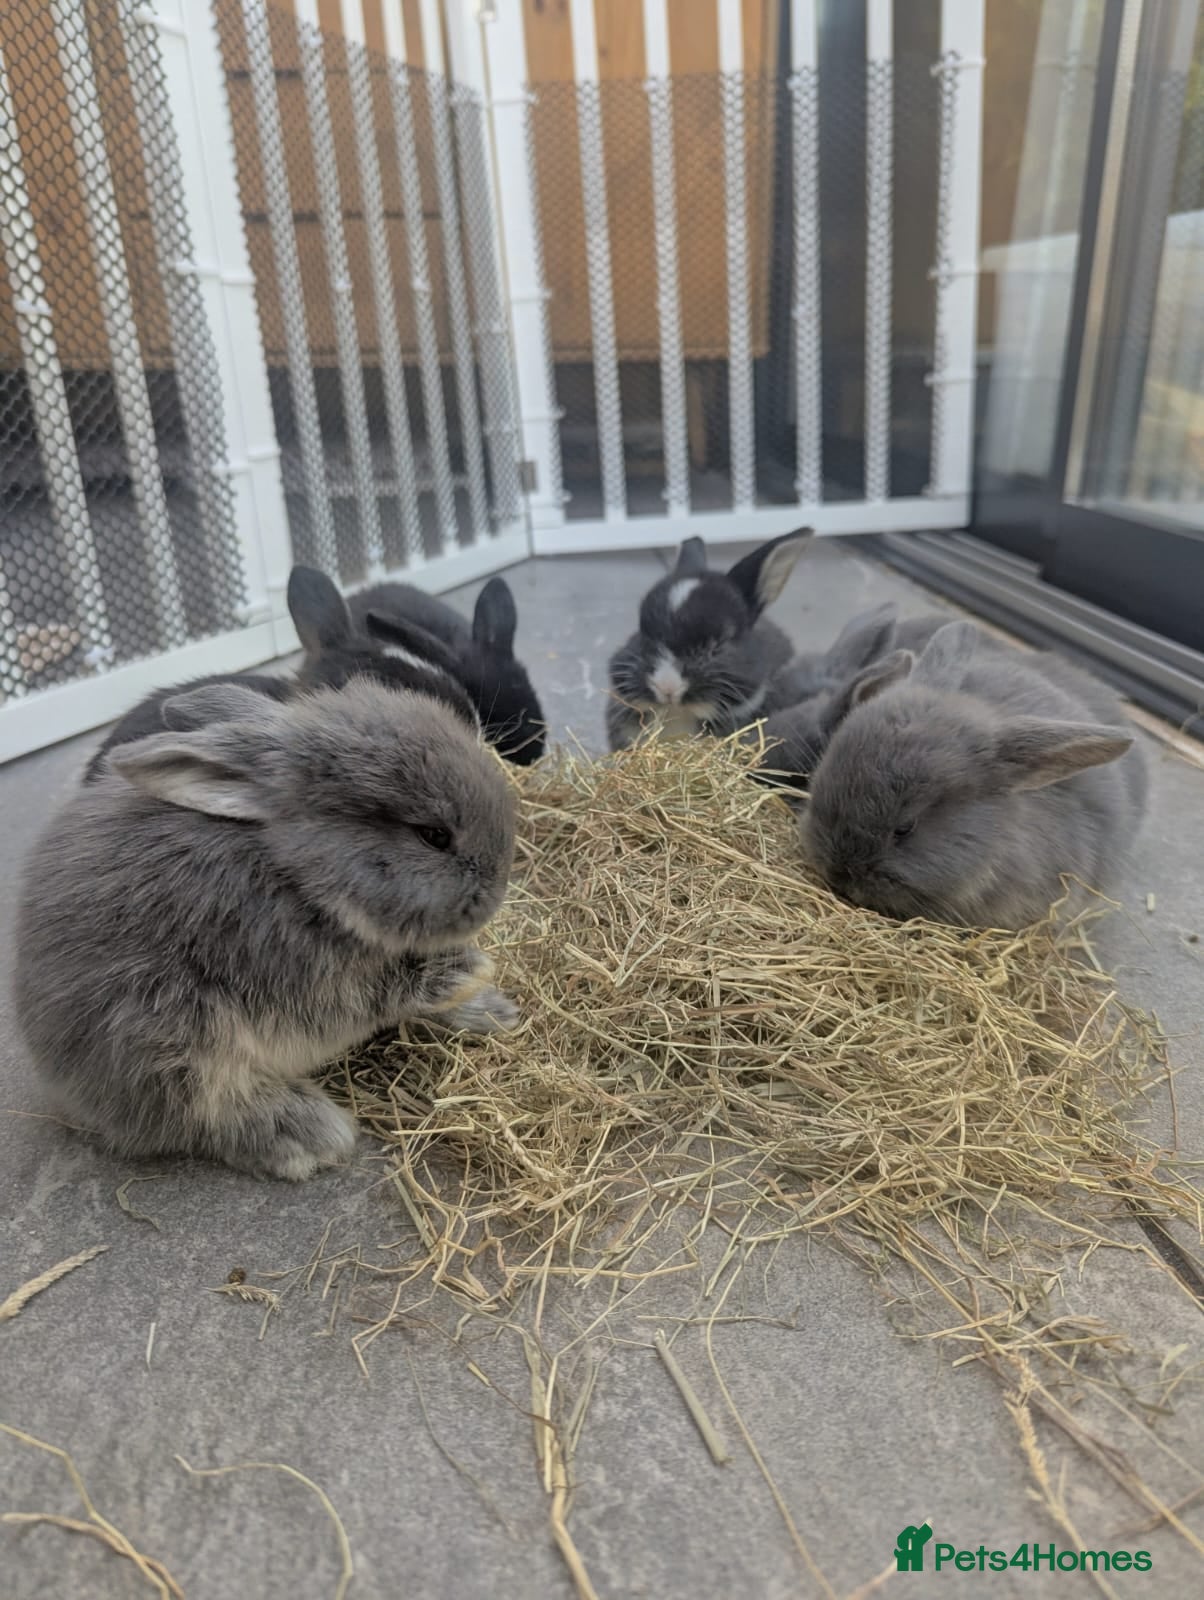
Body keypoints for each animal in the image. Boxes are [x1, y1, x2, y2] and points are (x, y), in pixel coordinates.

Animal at [14, 679, 518, 1180]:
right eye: (433, 835)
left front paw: (493, 1007)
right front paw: (470, 970)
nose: (496, 892)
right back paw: (308, 1134)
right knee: (206, 1110)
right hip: (168, 1033)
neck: (298, 873)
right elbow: (384, 991)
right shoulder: (297, 971)